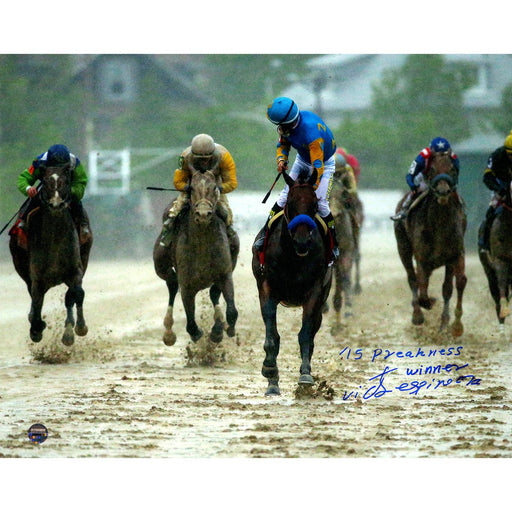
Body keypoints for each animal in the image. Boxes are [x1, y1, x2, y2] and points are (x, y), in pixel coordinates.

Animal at [9, 166, 93, 346]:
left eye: (66, 181)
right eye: (46, 182)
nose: (56, 203)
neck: (55, 238)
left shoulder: (75, 270)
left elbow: (76, 294)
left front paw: (76, 329)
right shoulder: (37, 277)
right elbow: (37, 302)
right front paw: (36, 328)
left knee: (72, 296)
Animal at [153, 170, 239, 346]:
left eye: (214, 188)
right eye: (191, 189)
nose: (203, 214)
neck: (202, 243)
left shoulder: (225, 274)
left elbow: (231, 311)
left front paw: (221, 329)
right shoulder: (187, 284)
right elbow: (191, 324)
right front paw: (198, 334)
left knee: (213, 293)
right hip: (161, 265)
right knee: (172, 285)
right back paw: (168, 332)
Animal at [251, 169, 332, 396]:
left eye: (314, 205)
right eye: (291, 203)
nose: (302, 241)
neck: (292, 258)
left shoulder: (314, 291)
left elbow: (305, 335)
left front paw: (305, 376)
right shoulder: (267, 288)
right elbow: (272, 336)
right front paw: (270, 370)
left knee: (312, 334)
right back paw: (273, 384)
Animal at [394, 159, 466, 336]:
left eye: (452, 168)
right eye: (432, 168)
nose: (443, 191)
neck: (439, 223)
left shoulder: (454, 255)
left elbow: (452, 285)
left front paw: (452, 325)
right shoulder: (422, 258)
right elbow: (422, 289)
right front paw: (428, 304)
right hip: (403, 247)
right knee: (412, 278)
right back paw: (417, 315)